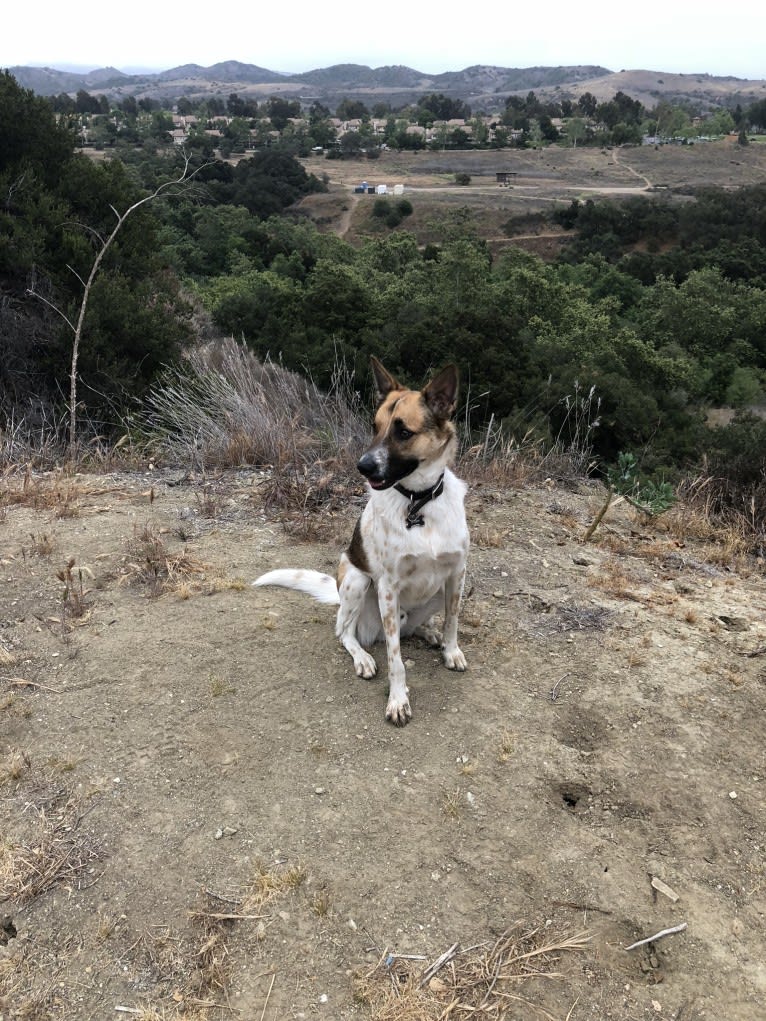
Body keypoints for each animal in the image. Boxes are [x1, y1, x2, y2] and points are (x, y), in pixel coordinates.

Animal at [255, 359, 471, 726]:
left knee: (411, 626)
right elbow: (396, 659)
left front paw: (450, 650)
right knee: (345, 631)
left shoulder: (457, 574)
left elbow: (452, 620)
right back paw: (363, 657)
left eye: (403, 432)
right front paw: (398, 699)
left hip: (433, 592)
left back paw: (428, 632)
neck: (418, 503)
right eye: (375, 426)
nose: (362, 466)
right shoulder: (387, 587)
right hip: (357, 581)